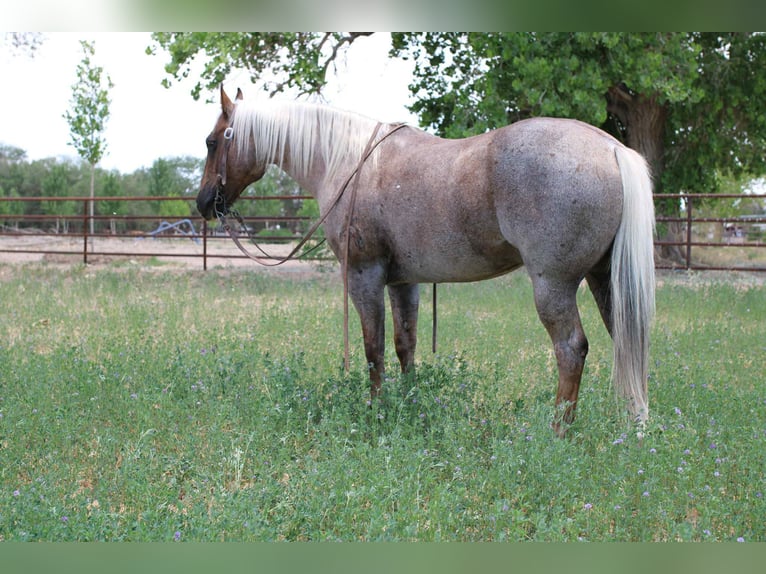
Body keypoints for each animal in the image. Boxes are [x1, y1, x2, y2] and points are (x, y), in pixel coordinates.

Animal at [197, 86, 655, 437]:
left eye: (212, 141)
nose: (203, 204)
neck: (346, 161)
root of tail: (612, 149)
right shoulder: (404, 282)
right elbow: (405, 345)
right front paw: (409, 403)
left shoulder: (364, 275)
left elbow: (374, 348)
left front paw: (376, 410)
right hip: (604, 280)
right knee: (627, 342)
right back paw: (634, 426)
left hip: (553, 284)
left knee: (571, 349)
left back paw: (559, 432)